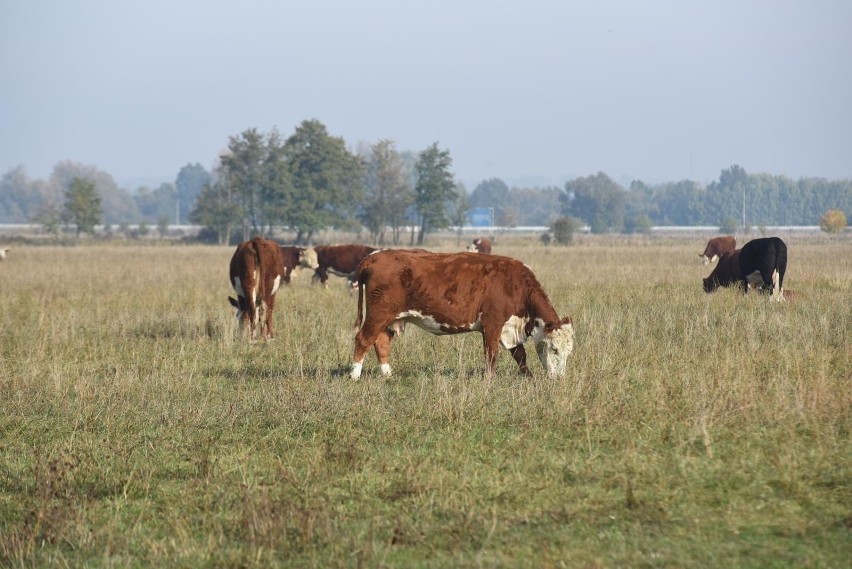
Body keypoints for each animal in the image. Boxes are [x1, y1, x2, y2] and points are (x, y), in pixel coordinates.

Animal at [350, 248, 576, 378]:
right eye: (554, 349)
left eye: (569, 351)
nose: (560, 379)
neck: (515, 285)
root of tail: (374, 257)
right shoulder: (492, 324)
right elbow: (491, 354)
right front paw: (489, 380)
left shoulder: (509, 328)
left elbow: (520, 355)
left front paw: (529, 377)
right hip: (378, 314)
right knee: (363, 339)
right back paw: (354, 375)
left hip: (390, 318)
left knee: (380, 341)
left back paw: (387, 374)